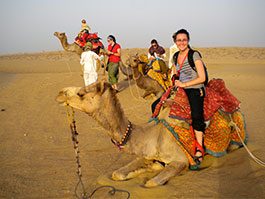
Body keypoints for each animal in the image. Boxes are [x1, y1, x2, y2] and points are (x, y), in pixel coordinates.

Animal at [55, 80, 245, 187]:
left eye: (81, 93)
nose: (60, 93)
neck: (154, 135)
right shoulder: (145, 154)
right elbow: (117, 174)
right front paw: (147, 168)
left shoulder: (181, 160)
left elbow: (152, 183)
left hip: (234, 137)